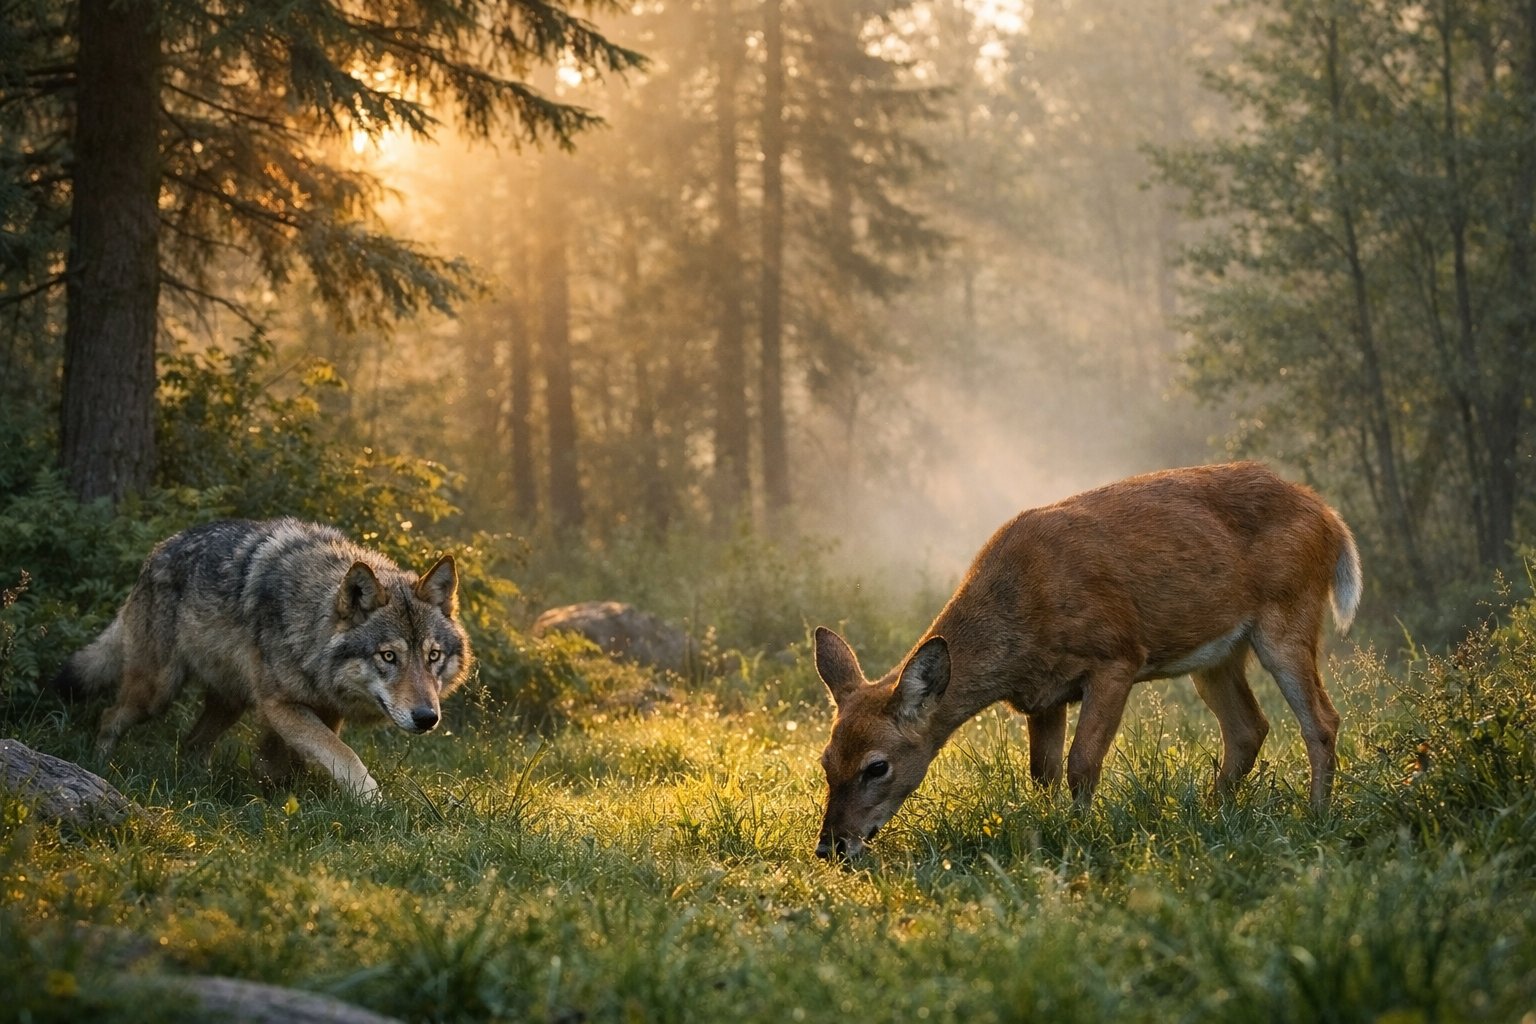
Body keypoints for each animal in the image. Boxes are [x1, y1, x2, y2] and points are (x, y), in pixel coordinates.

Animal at [812, 462, 1361, 859]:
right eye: (825, 761)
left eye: (876, 766)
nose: (830, 846)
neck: (1022, 616)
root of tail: (1330, 516)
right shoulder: (1041, 696)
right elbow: (1043, 772)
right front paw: (1048, 827)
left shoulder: (1117, 657)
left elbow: (1081, 763)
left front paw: (1079, 833)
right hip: (1217, 655)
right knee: (1249, 727)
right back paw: (1214, 815)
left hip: (1287, 616)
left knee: (1321, 720)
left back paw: (1316, 818)